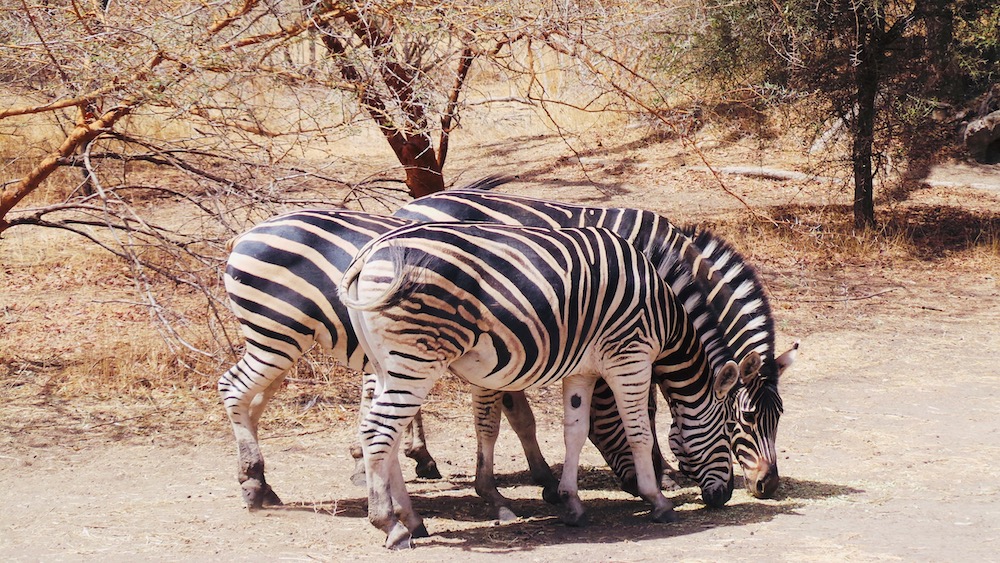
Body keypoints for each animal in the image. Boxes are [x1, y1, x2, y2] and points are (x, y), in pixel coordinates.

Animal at [340, 224, 740, 552]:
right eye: (729, 431)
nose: (724, 497)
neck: (665, 313)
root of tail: (370, 254)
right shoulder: (631, 357)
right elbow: (639, 432)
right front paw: (657, 499)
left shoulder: (582, 371)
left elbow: (574, 432)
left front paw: (571, 503)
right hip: (415, 360)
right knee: (378, 433)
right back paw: (389, 525)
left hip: (387, 365)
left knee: (386, 436)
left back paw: (411, 520)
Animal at [394, 188, 800, 498]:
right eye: (745, 419)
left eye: (779, 416)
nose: (769, 486)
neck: (666, 267)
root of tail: (409, 205)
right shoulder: (638, 330)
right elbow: (648, 406)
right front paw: (660, 472)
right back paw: (423, 457)